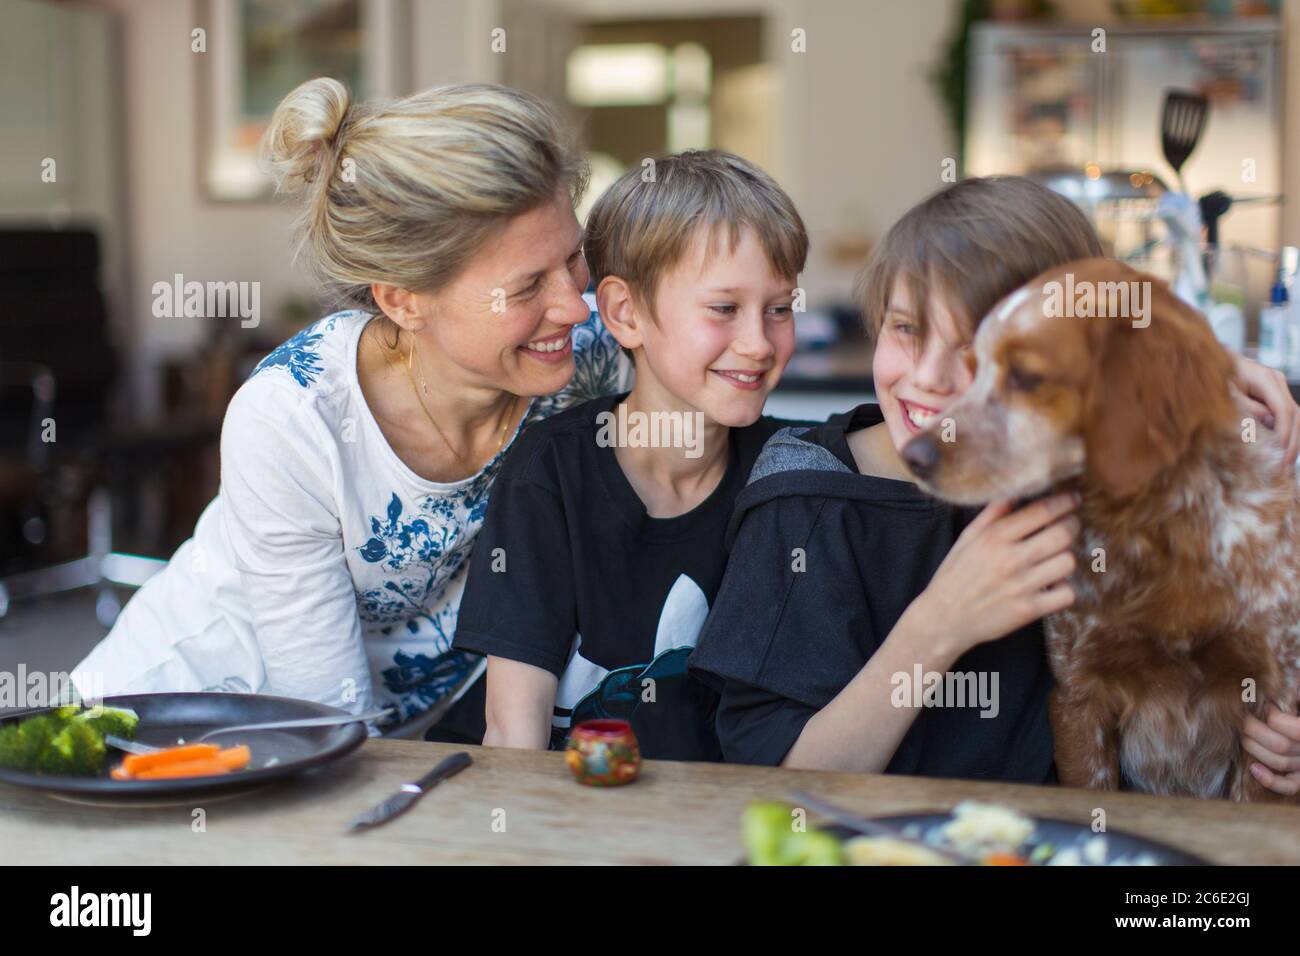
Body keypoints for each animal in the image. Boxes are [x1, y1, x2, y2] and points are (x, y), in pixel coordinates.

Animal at [904, 256, 1300, 801]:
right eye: (972, 371)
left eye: (1025, 376)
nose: (913, 455)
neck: (1156, 529)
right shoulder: (1079, 695)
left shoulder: (1270, 701)